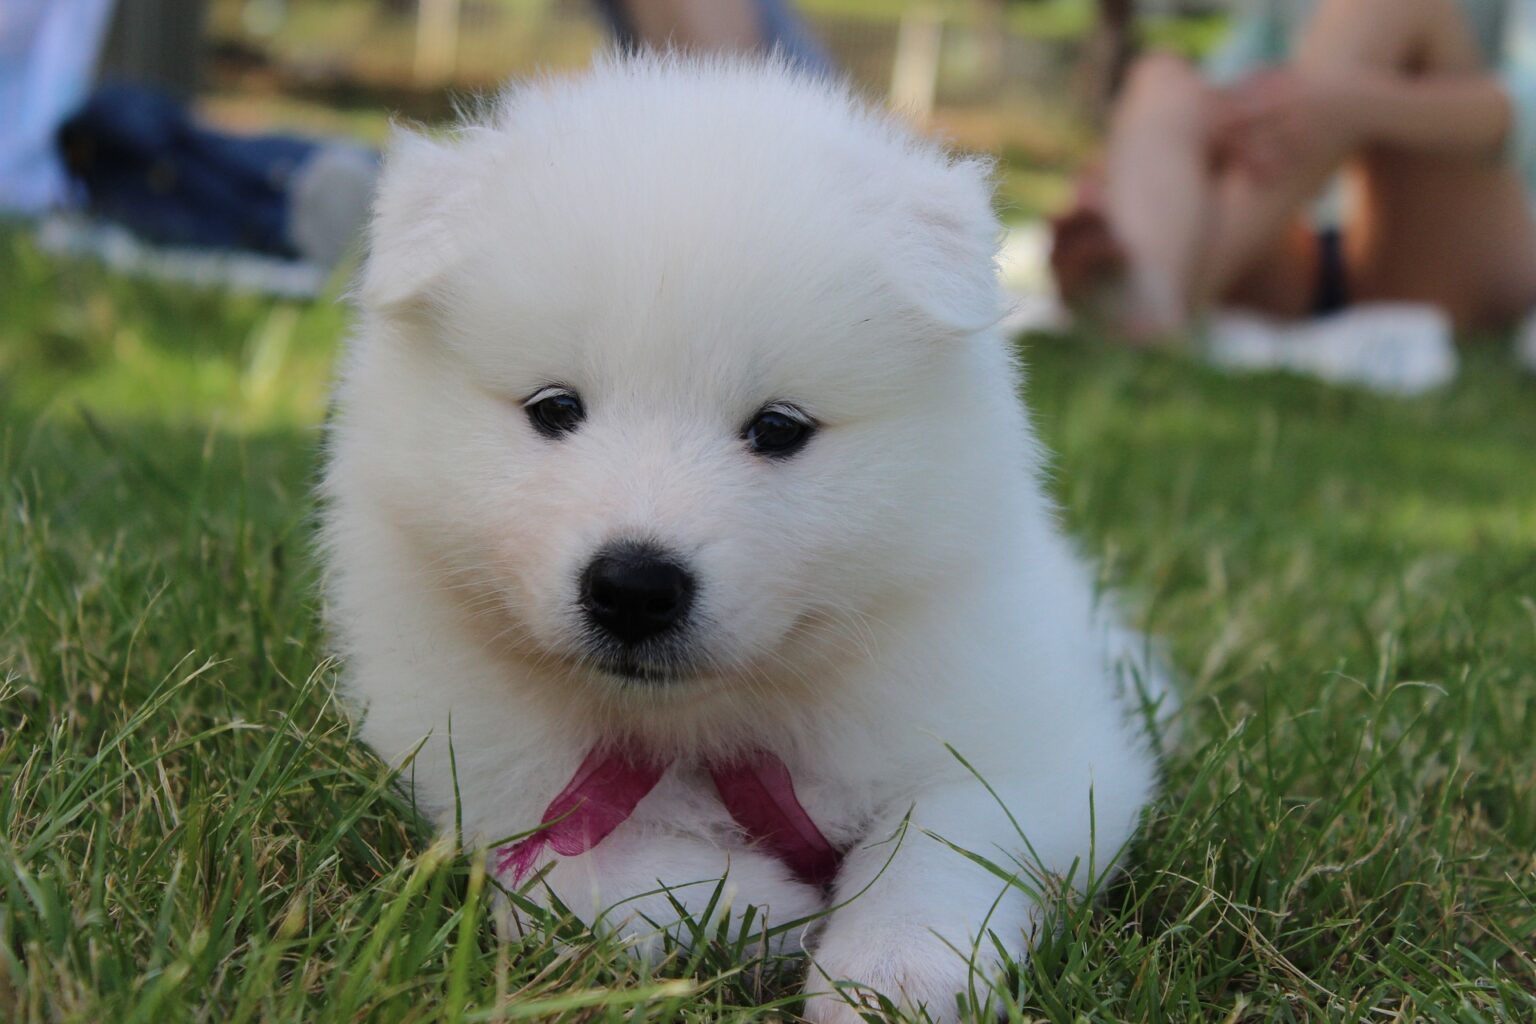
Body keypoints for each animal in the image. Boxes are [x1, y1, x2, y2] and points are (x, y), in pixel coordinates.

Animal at [324, 57, 1161, 1024]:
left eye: (779, 428)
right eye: (554, 409)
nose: (633, 588)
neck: (705, 727)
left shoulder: (1039, 748)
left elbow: (944, 840)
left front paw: (891, 975)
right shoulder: (481, 776)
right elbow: (587, 875)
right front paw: (771, 913)